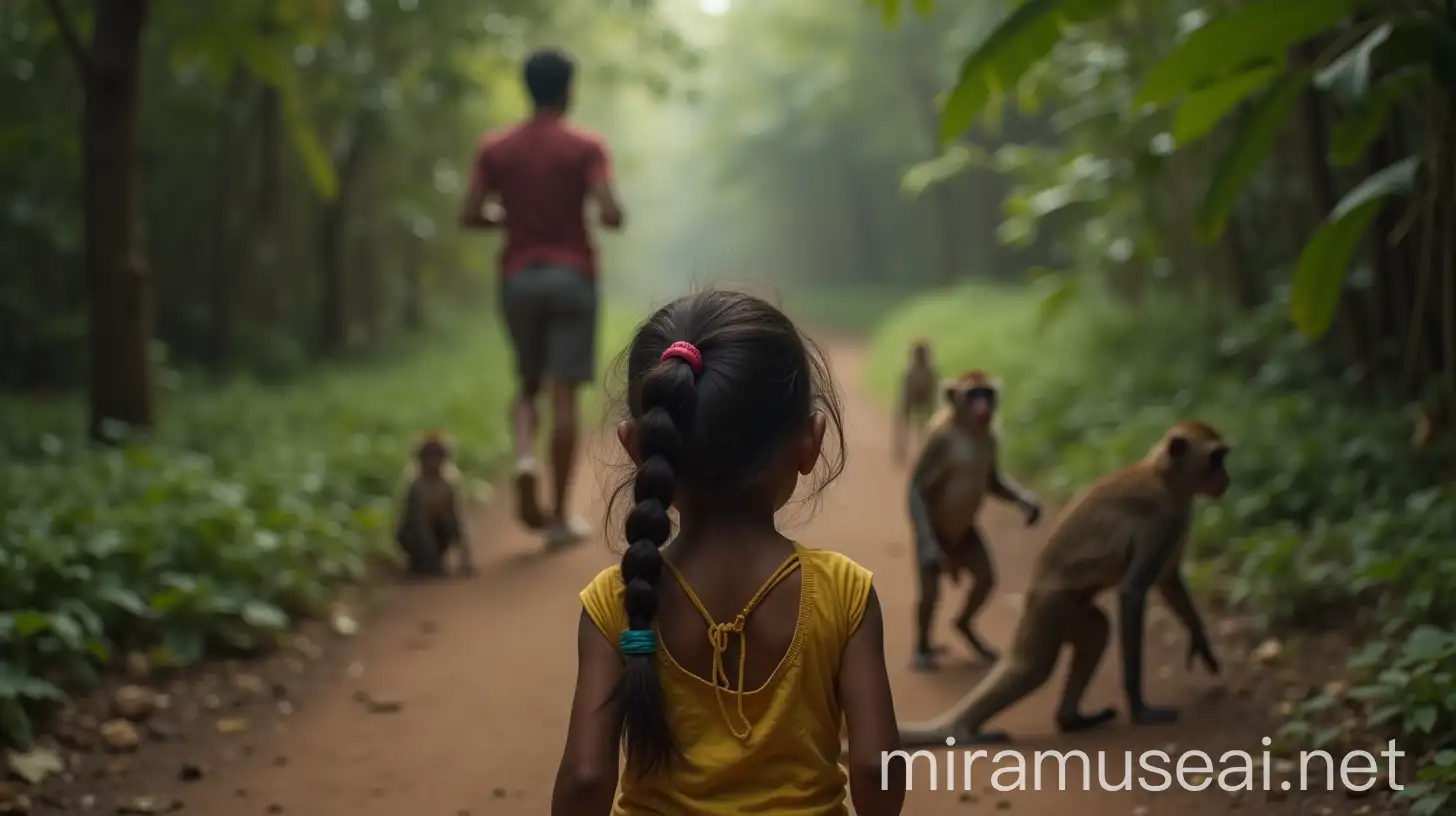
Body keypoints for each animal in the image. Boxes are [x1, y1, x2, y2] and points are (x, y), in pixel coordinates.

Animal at [396, 431, 474, 577]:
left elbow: (457, 517)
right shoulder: (415, 487)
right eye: (428, 453)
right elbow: (419, 521)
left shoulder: (453, 482)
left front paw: (467, 562)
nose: (433, 459)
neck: (432, 477)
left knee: (448, 521)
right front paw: (430, 565)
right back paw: (419, 564)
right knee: (404, 531)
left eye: (437, 452)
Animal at [896, 419, 1228, 746]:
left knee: (1096, 631)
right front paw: (1139, 706)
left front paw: (1201, 641)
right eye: (1216, 458)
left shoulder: (1179, 515)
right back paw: (960, 730)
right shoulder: (1164, 517)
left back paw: (1070, 719)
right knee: (1031, 668)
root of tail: (1034, 586)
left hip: (1072, 606)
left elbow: (1168, 580)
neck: (1165, 476)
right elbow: (1133, 593)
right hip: (1050, 604)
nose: (1226, 478)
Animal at [908, 370, 1036, 670]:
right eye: (972, 394)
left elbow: (991, 480)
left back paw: (965, 628)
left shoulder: (992, 437)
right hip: (939, 541)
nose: (982, 405)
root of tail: (953, 561)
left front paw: (1027, 503)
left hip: (967, 540)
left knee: (984, 578)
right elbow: (919, 487)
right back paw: (923, 646)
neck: (969, 431)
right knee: (930, 589)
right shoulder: (940, 440)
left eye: (986, 393)